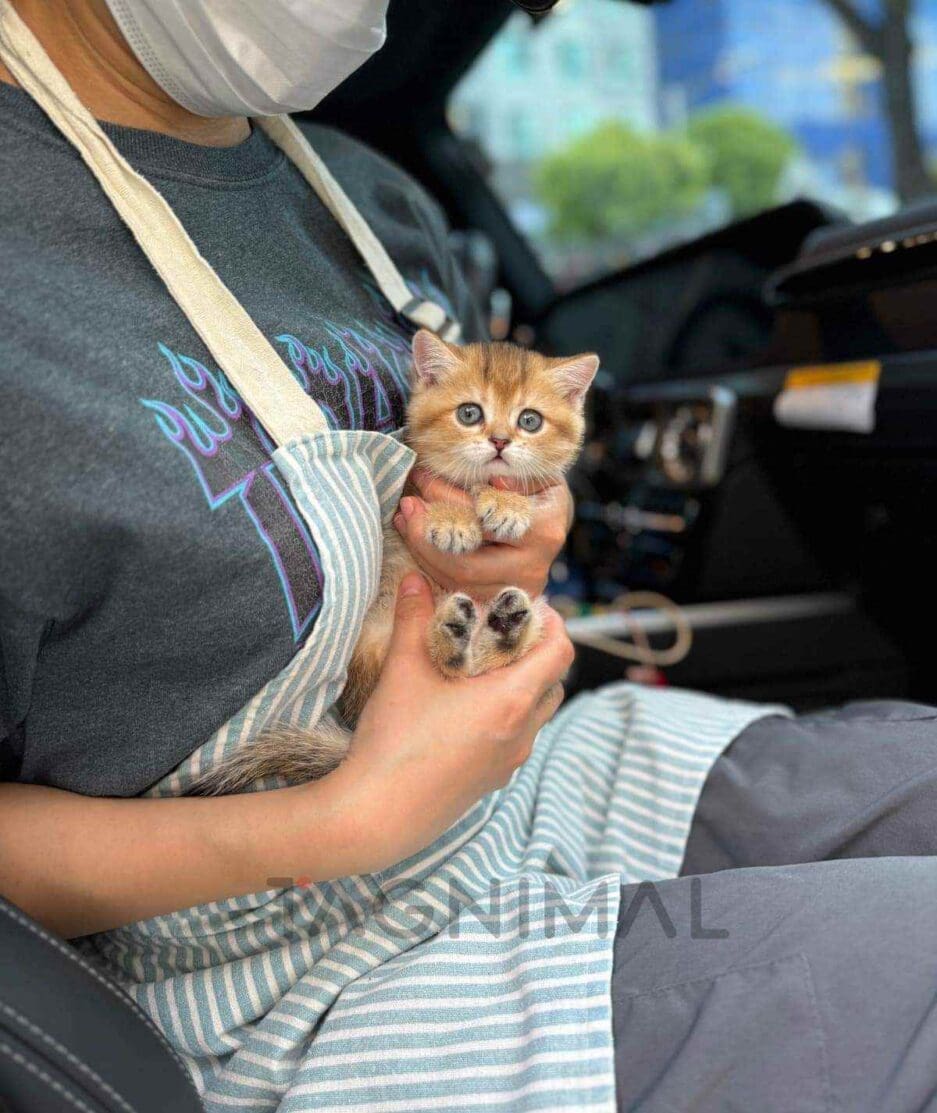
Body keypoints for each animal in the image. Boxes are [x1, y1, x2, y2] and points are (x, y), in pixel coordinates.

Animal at [193, 327, 596, 792]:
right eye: (470, 413)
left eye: (529, 420)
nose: (499, 441)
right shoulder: (406, 488)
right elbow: (430, 484)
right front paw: (453, 517)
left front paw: (508, 503)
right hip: (372, 644)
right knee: (450, 668)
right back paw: (459, 633)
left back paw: (504, 627)